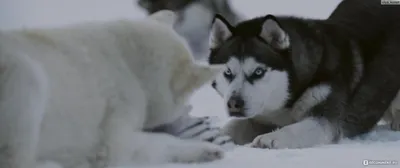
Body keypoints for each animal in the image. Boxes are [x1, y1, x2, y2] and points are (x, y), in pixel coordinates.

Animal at [0, 9, 225, 167]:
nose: (190, 110)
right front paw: (206, 149)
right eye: (189, 97)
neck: (133, 69)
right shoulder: (117, 134)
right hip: (26, 76)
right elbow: (159, 141)